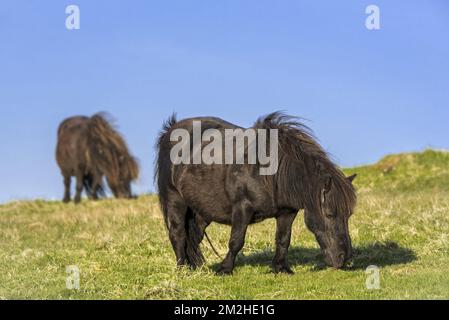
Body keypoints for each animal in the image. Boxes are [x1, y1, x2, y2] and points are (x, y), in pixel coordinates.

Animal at [156, 111, 356, 274]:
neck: (270, 171)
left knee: (194, 236)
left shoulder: (287, 212)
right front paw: (225, 269)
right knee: (178, 234)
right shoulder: (242, 208)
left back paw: (194, 267)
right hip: (175, 200)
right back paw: (182, 269)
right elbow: (236, 240)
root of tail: (170, 130)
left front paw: (281, 268)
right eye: (329, 214)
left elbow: (283, 239)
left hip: (203, 210)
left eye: (348, 215)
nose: (344, 258)